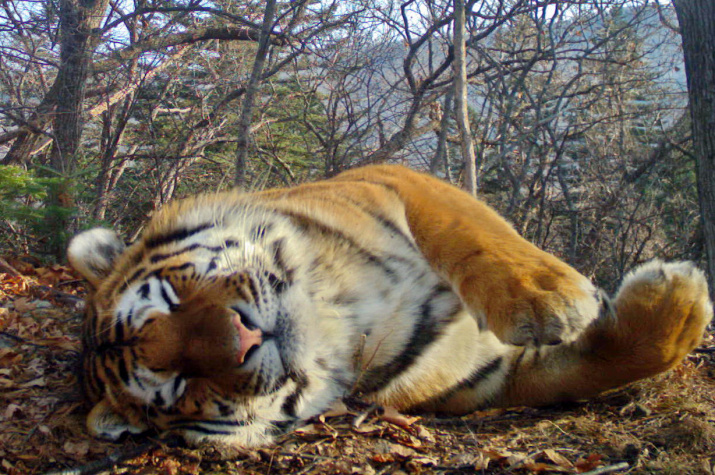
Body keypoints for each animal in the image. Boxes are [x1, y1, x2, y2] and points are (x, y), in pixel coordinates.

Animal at [65, 165, 712, 448]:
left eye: (172, 299)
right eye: (176, 386)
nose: (243, 339)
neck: (341, 324)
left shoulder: (393, 179)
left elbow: (472, 233)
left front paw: (557, 298)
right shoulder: (489, 381)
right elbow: (579, 373)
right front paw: (676, 297)